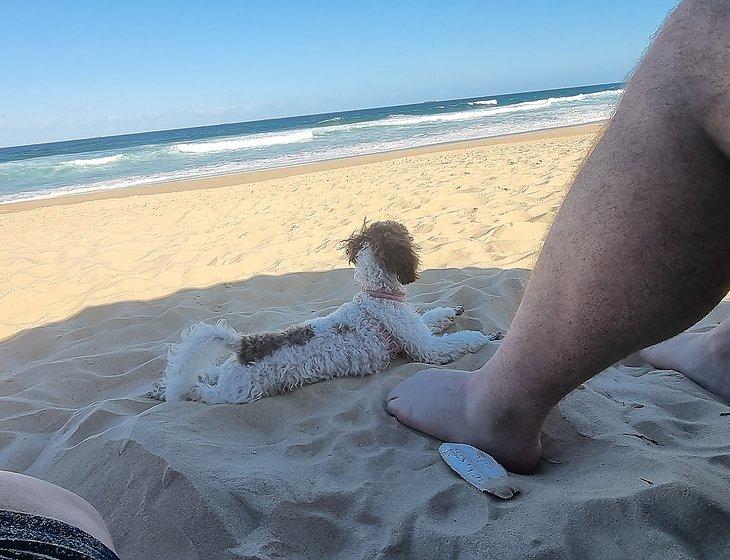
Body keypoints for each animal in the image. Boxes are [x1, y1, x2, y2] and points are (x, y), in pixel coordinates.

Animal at [151, 220, 498, 402]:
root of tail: (243, 344)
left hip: (227, 375)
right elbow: (455, 342)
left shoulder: (415, 327)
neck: (377, 294)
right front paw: (483, 337)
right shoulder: (426, 347)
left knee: (207, 371)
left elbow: (432, 317)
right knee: (203, 391)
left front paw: (452, 310)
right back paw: (183, 391)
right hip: (234, 392)